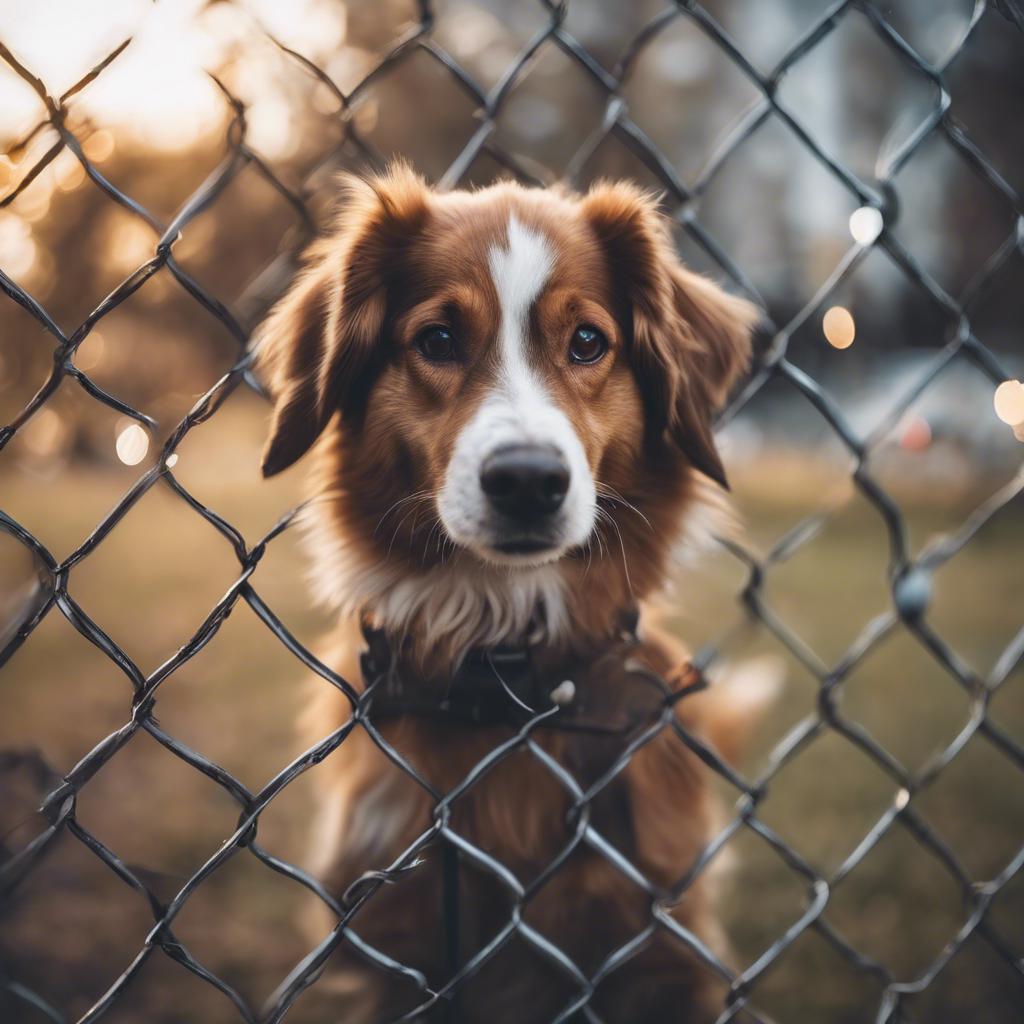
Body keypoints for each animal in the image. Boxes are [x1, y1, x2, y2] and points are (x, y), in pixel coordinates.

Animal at [256, 163, 765, 1019]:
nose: (528, 480)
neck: (501, 685)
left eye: (588, 342)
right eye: (437, 340)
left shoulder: (660, 950)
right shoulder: (392, 945)